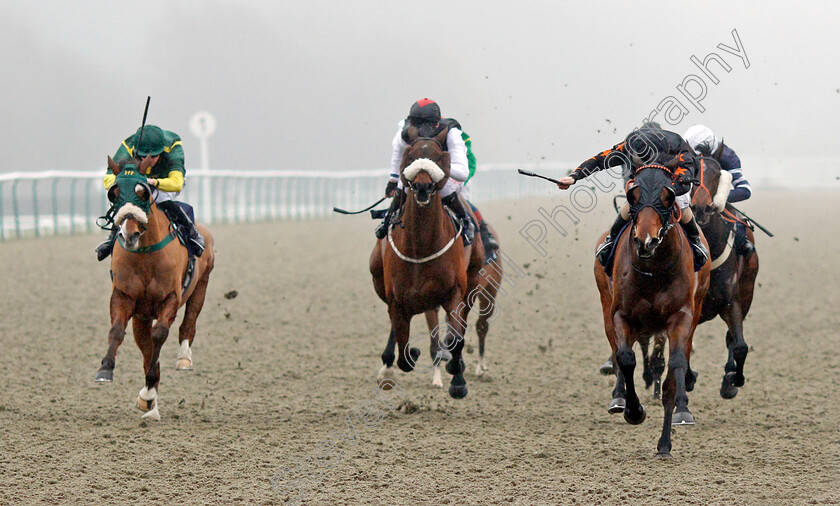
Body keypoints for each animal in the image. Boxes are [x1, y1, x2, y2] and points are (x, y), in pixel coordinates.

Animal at [93, 156, 215, 422]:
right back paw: (151, 404)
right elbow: (117, 332)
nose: (129, 234)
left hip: (201, 286)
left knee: (188, 323)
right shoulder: (124, 297)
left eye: (143, 192)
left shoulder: (170, 298)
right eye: (113, 192)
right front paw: (105, 370)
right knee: (147, 349)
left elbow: (160, 335)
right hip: (142, 317)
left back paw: (183, 359)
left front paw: (148, 391)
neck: (146, 255)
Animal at [592, 166, 712, 458]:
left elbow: (675, 367)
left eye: (667, 197)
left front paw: (666, 441)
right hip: (607, 303)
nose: (646, 241)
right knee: (617, 351)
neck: (652, 271)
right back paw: (619, 397)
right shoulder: (621, 315)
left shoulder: (681, 317)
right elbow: (625, 358)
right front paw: (634, 411)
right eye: (633, 197)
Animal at [692, 157, 756, 400]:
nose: (701, 208)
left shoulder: (732, 301)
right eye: (692, 173)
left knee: (731, 338)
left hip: (748, 290)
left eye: (718, 174)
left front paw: (733, 380)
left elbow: (740, 345)